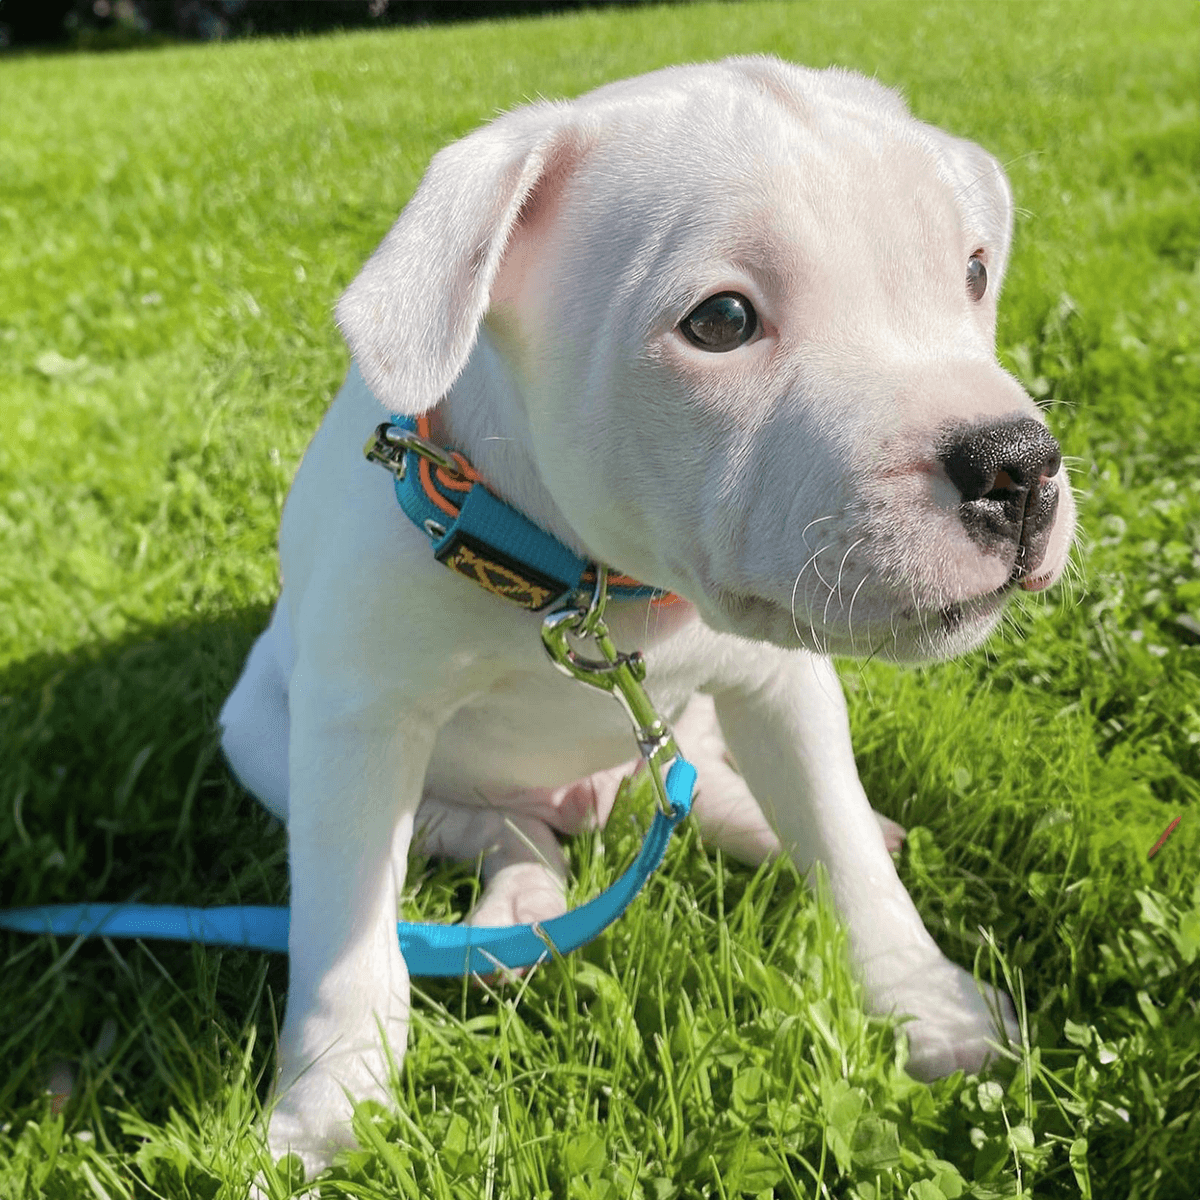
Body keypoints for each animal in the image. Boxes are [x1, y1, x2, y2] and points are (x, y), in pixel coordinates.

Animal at [218, 56, 1080, 1171]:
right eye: (721, 321)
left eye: (973, 273)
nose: (1017, 466)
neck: (594, 584)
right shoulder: (356, 730)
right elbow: (348, 937)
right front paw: (327, 1109)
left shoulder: (783, 687)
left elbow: (841, 847)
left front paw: (930, 1006)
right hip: (264, 738)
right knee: (501, 831)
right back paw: (522, 903)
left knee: (705, 784)